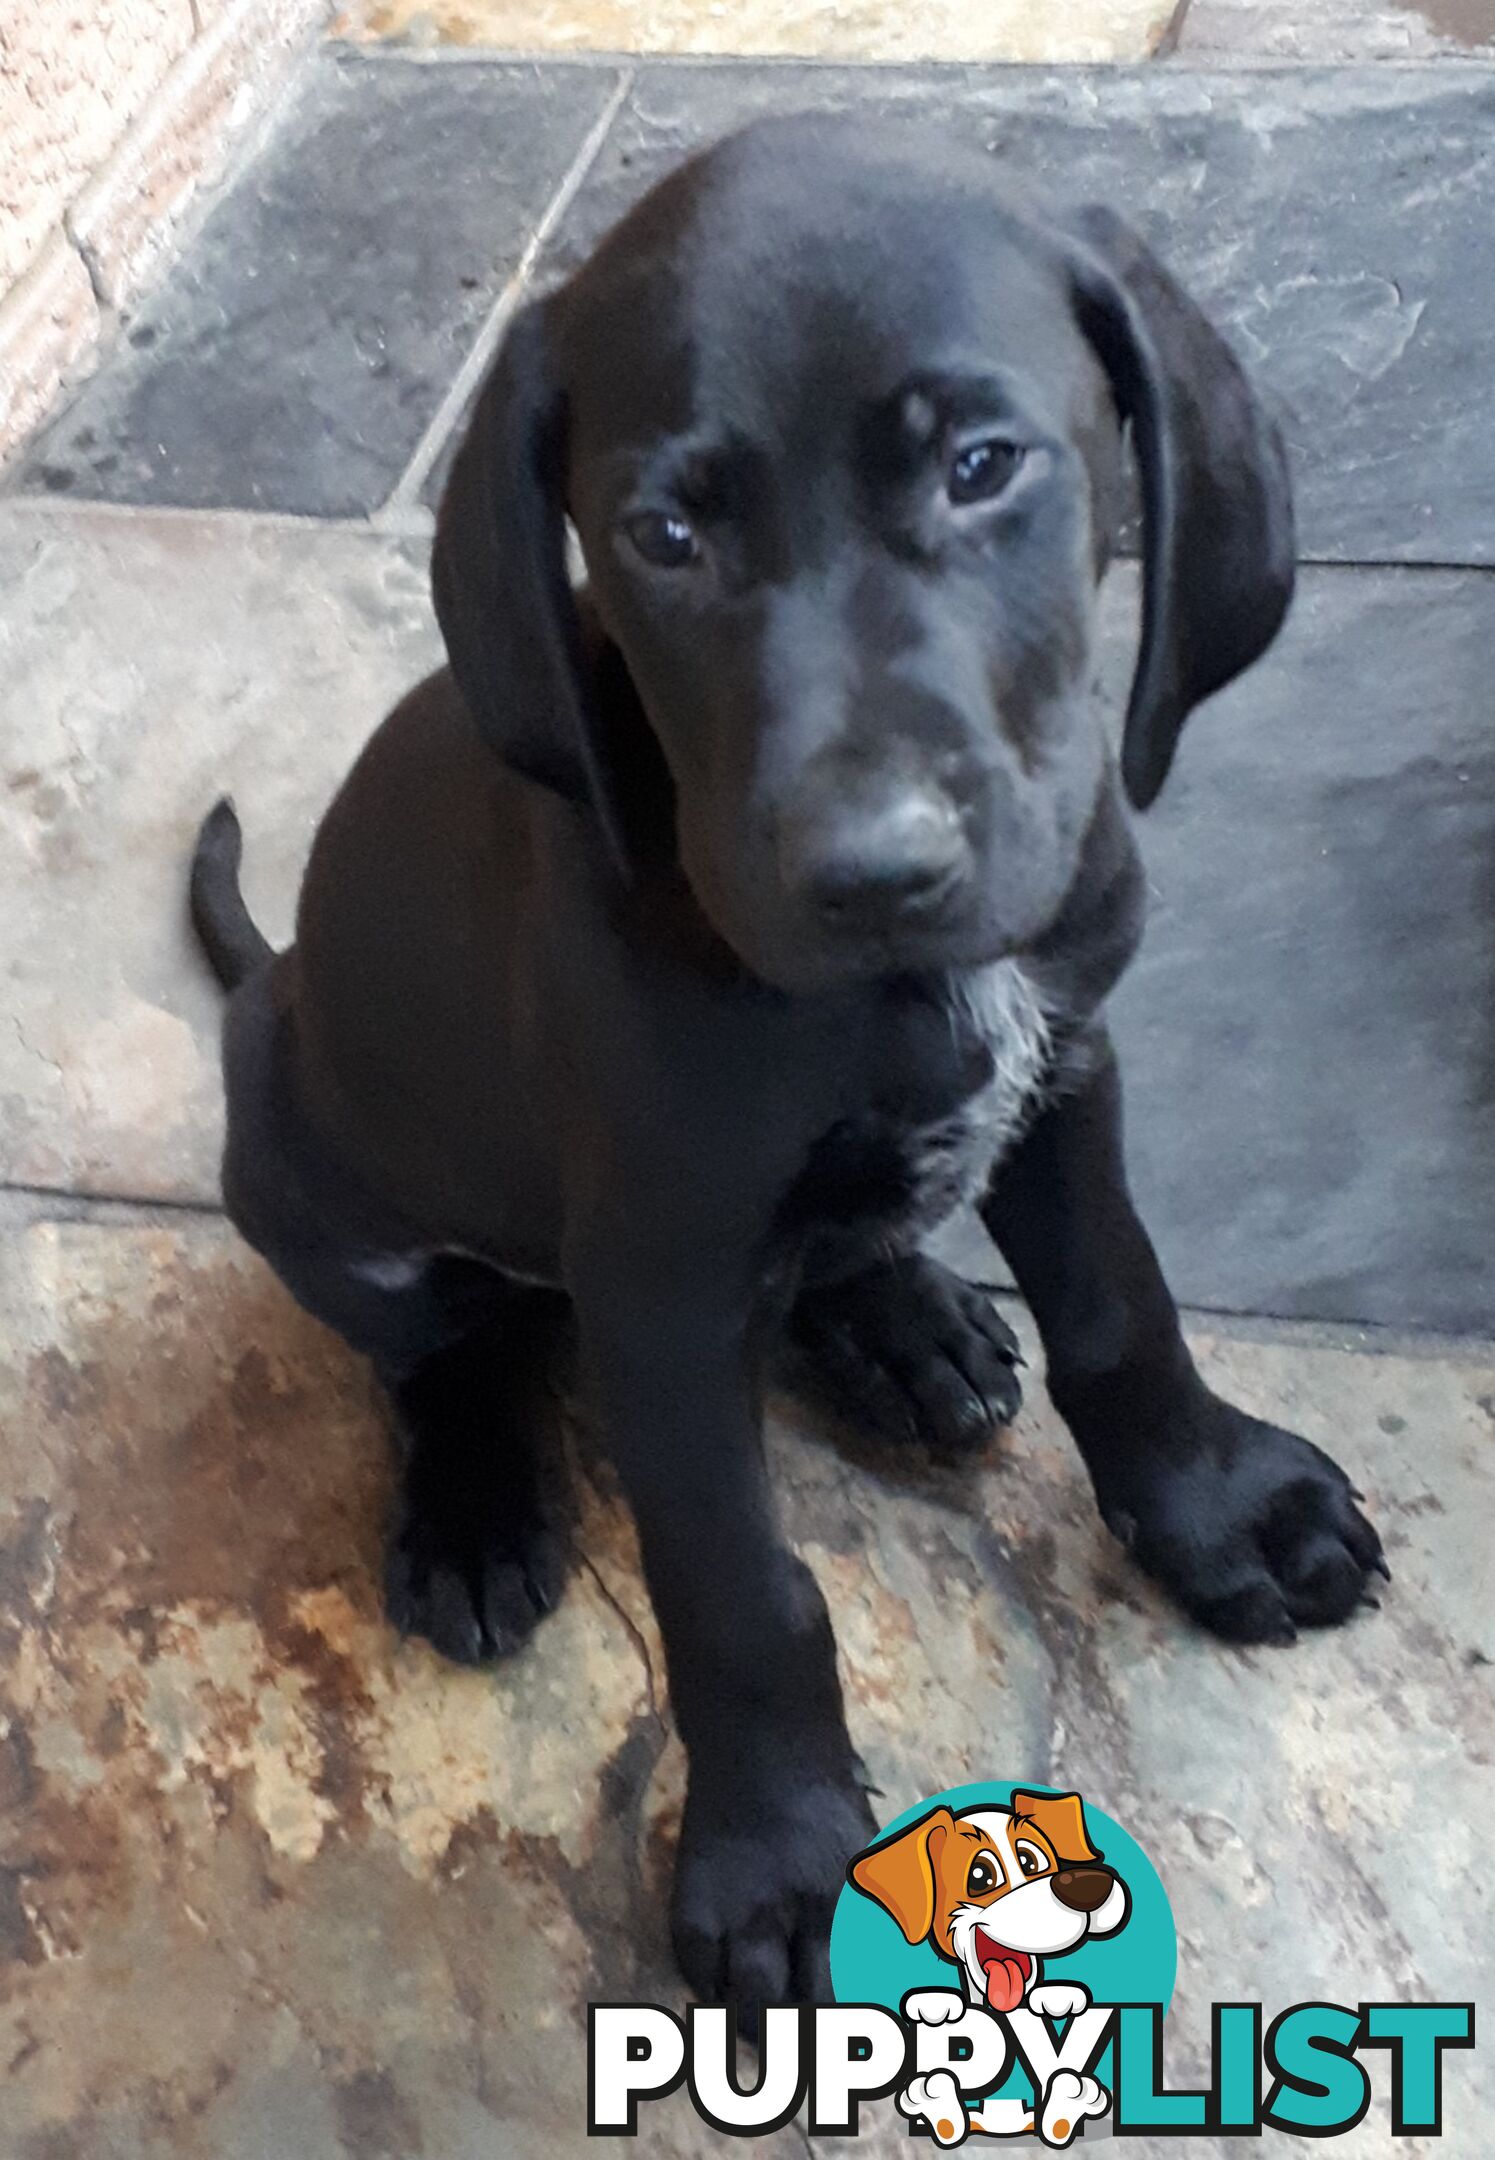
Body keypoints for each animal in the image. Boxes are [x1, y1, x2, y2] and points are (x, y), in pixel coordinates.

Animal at [192, 113, 1382, 2004]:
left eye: (983, 466)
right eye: (663, 532)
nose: (870, 870)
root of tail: (272, 986)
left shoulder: (1069, 1067)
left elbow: (1122, 1307)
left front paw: (1212, 1508)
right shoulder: (660, 1281)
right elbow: (742, 1592)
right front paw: (784, 1857)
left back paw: (900, 1320)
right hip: (306, 1178)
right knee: (446, 1346)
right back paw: (476, 1505)